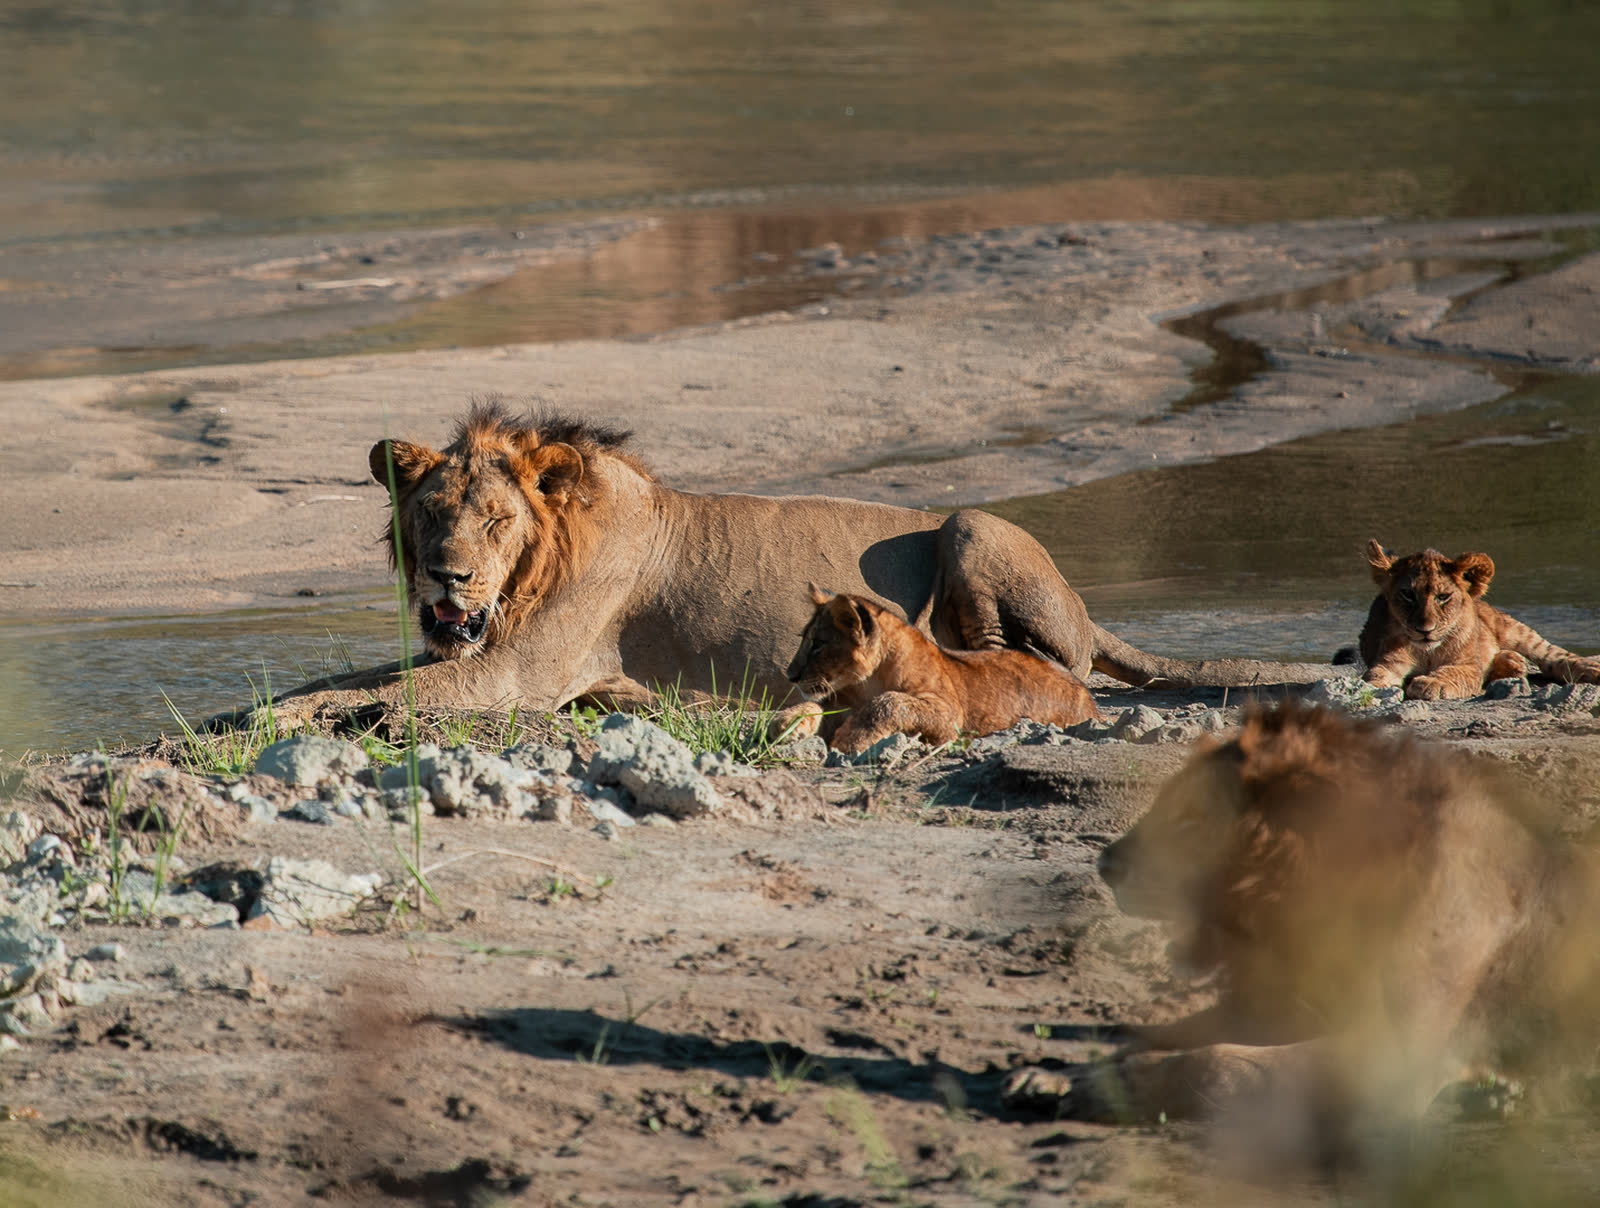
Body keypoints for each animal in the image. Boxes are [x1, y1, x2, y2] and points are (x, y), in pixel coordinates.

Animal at [254, 401, 1347, 725]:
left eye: (492, 520)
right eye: (431, 517)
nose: (448, 578)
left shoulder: (519, 673)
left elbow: (388, 694)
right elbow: (336, 681)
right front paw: (261, 709)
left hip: (970, 524)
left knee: (1038, 663)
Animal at [785, 585, 1102, 753]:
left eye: (817, 644)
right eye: (803, 639)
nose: (791, 676)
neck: (865, 683)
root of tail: (1090, 700)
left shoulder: (950, 714)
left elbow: (890, 702)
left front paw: (852, 739)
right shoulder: (839, 704)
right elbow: (812, 707)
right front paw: (786, 725)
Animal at [1006, 703, 1600, 1147]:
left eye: (1191, 817)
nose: (1105, 864)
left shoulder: (1399, 1055)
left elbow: (1212, 1059)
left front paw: (1096, 1087)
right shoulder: (1288, 1005)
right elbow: (1172, 1037)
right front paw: (1059, 1075)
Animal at [1360, 539, 1600, 700]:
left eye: (1443, 597)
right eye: (1408, 595)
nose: (1425, 629)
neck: (1428, 651)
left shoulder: (1467, 665)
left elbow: (1453, 672)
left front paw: (1431, 682)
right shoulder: (1390, 662)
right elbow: (1376, 675)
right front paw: (1372, 688)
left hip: (1513, 629)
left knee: (1553, 655)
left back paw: (1590, 668)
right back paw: (1512, 663)